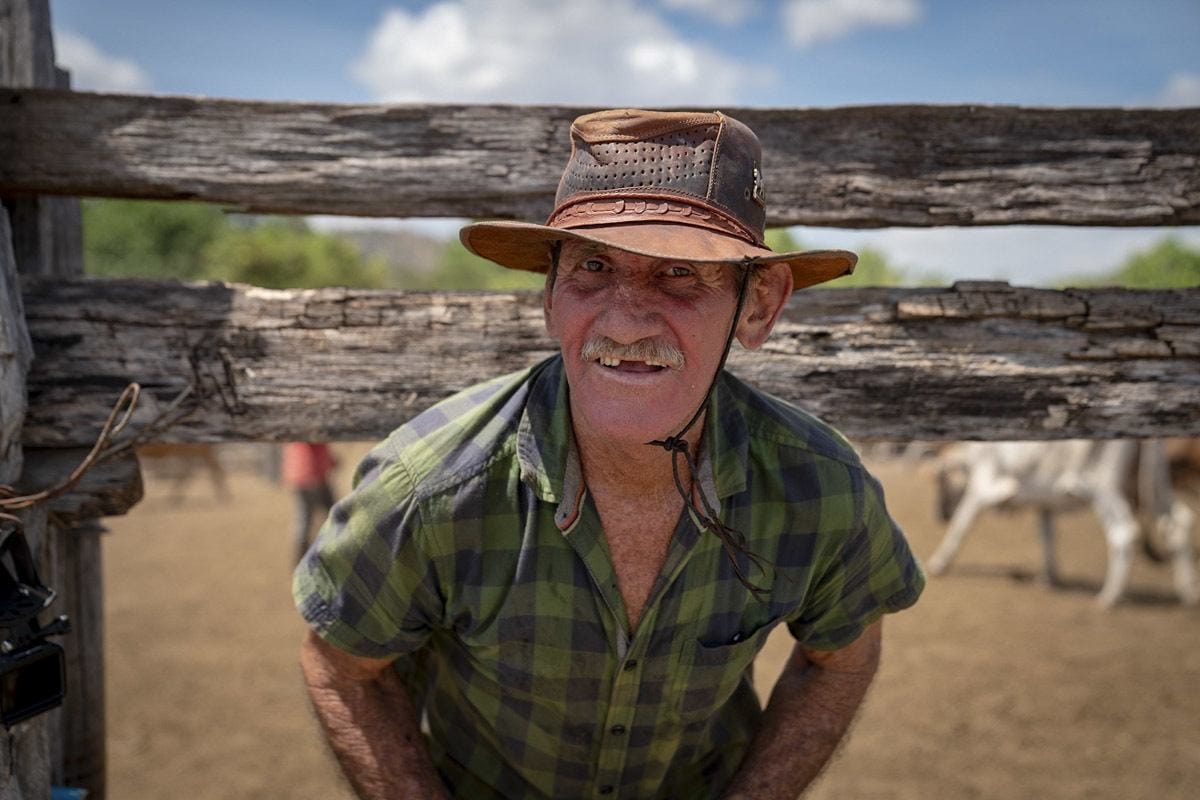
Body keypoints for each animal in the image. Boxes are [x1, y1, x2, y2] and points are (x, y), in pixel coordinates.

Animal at [931, 438, 1195, 606]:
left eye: (941, 478)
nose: (939, 514)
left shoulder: (980, 488)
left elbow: (960, 526)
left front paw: (939, 564)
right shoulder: (1044, 505)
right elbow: (1047, 536)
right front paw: (1048, 578)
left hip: (1104, 486)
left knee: (1124, 532)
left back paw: (1109, 597)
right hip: (1151, 485)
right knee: (1178, 523)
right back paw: (1188, 593)